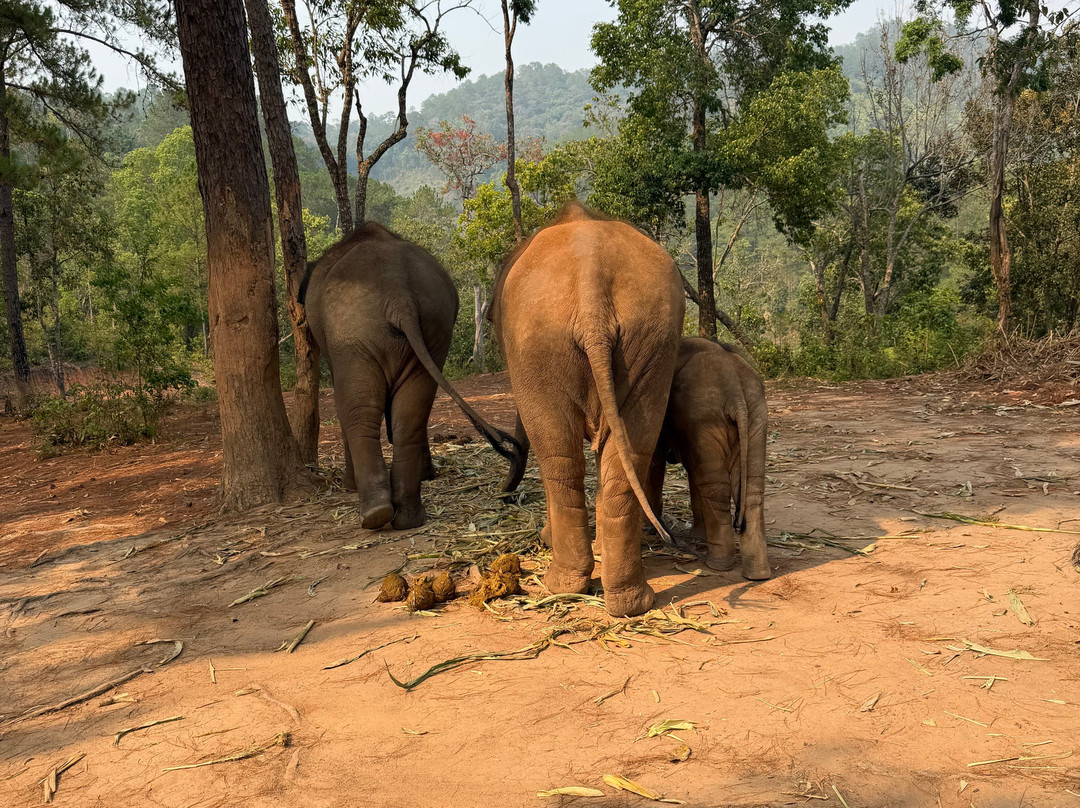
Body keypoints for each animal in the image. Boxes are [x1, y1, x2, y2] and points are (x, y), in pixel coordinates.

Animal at [298, 222, 520, 530]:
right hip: (435, 327)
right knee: (412, 413)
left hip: (352, 336)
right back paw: (407, 518)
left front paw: (348, 486)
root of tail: (399, 295)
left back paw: (374, 513)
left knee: (359, 411)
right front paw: (428, 476)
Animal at [491, 202, 685, 617]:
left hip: (540, 347)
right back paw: (629, 602)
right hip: (650, 340)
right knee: (626, 454)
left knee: (558, 458)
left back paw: (560, 586)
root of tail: (591, 284)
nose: (504, 494)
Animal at [646, 338, 771, 581]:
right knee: (750, 487)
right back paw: (758, 574)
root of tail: (735, 391)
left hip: (704, 418)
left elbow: (655, 462)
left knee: (715, 486)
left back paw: (718, 565)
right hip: (755, 415)